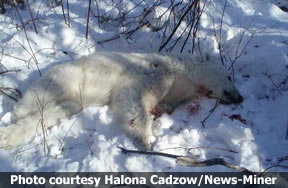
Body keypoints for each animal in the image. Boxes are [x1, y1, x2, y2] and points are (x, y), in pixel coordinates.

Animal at [0, 51, 243, 150]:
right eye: (230, 76)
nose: (240, 97)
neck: (181, 72)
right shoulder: (153, 72)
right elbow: (132, 95)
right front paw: (146, 138)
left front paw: (162, 109)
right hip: (67, 77)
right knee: (39, 100)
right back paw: (18, 115)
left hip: (70, 100)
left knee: (57, 110)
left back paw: (9, 136)